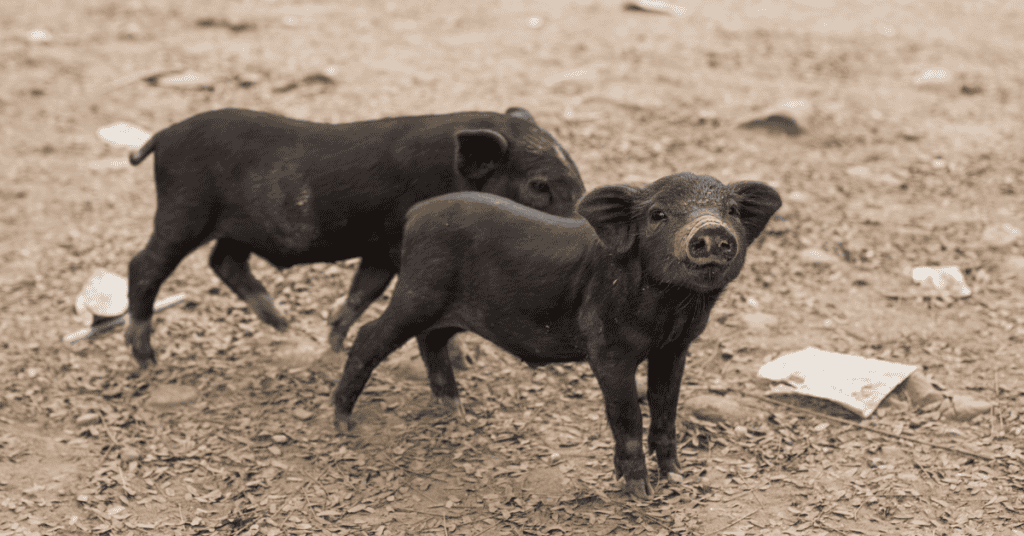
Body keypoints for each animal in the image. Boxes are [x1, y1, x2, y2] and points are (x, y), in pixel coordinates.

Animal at [125, 107, 585, 369]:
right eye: (540, 186)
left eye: (577, 177)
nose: (582, 225)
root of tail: (163, 136)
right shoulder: (395, 243)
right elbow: (381, 294)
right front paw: (462, 361)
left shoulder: (381, 249)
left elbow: (363, 291)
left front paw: (330, 342)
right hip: (183, 211)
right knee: (144, 265)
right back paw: (147, 361)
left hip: (235, 227)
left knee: (223, 260)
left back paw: (282, 324)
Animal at [331, 172, 781, 498]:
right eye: (658, 215)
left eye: (732, 209)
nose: (711, 230)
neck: (672, 307)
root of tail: (415, 215)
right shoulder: (607, 348)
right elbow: (627, 415)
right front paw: (639, 493)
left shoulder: (675, 348)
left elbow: (666, 408)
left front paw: (676, 478)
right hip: (417, 291)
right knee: (370, 336)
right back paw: (343, 423)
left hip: (440, 307)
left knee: (431, 340)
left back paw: (454, 411)